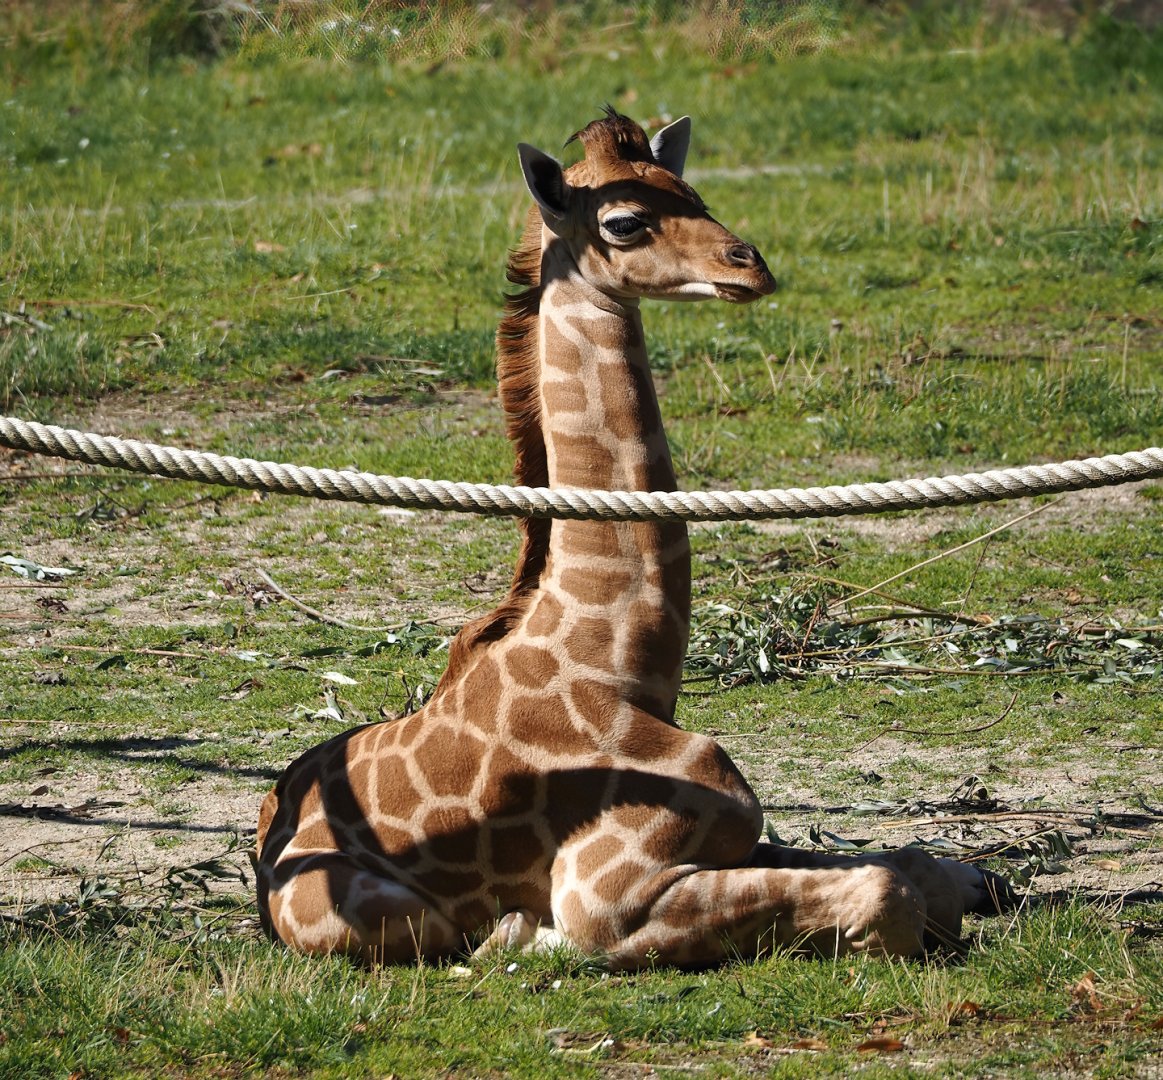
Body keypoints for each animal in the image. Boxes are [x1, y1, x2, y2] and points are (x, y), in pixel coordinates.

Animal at [255, 109, 1009, 969]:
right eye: (623, 222)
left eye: (694, 193)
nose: (749, 266)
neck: (618, 661)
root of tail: (264, 836)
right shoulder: (604, 893)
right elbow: (888, 892)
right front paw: (526, 936)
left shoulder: (731, 837)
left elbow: (920, 864)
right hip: (386, 916)